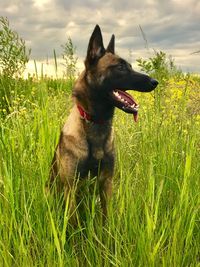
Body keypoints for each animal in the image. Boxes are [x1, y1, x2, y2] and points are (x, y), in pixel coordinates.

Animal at [46, 25, 158, 226]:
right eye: (120, 67)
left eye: (130, 66)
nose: (155, 82)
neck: (96, 123)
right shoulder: (71, 188)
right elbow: (74, 224)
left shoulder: (106, 181)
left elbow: (106, 218)